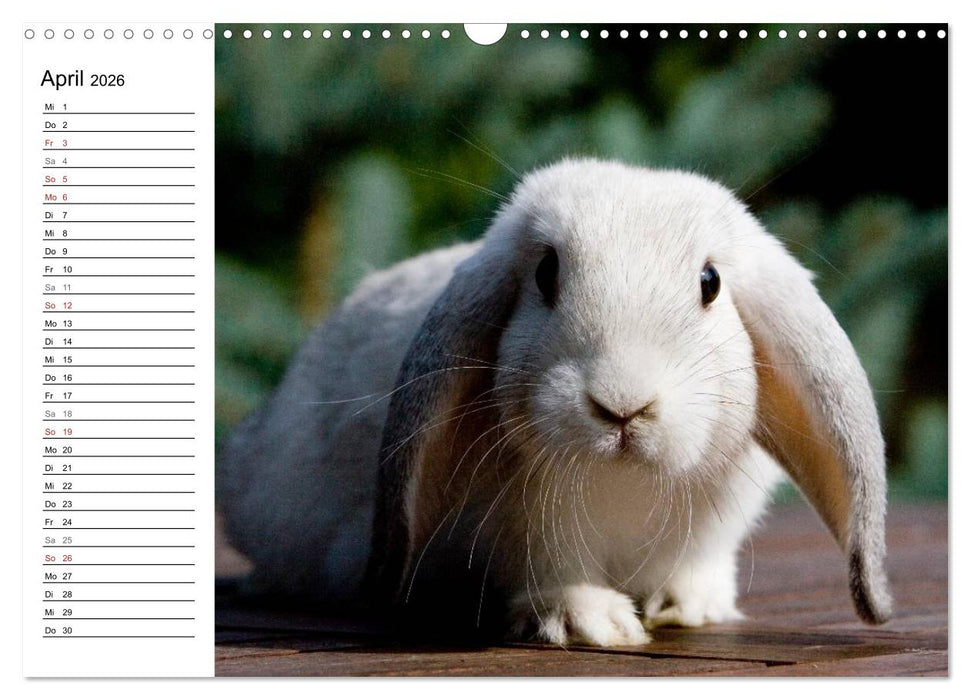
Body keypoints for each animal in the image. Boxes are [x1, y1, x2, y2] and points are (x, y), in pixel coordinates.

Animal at [217, 158, 892, 647]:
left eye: (710, 283)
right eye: (545, 273)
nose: (622, 406)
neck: (624, 482)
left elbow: (695, 567)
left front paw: (686, 608)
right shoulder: (526, 534)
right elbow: (553, 574)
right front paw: (592, 624)